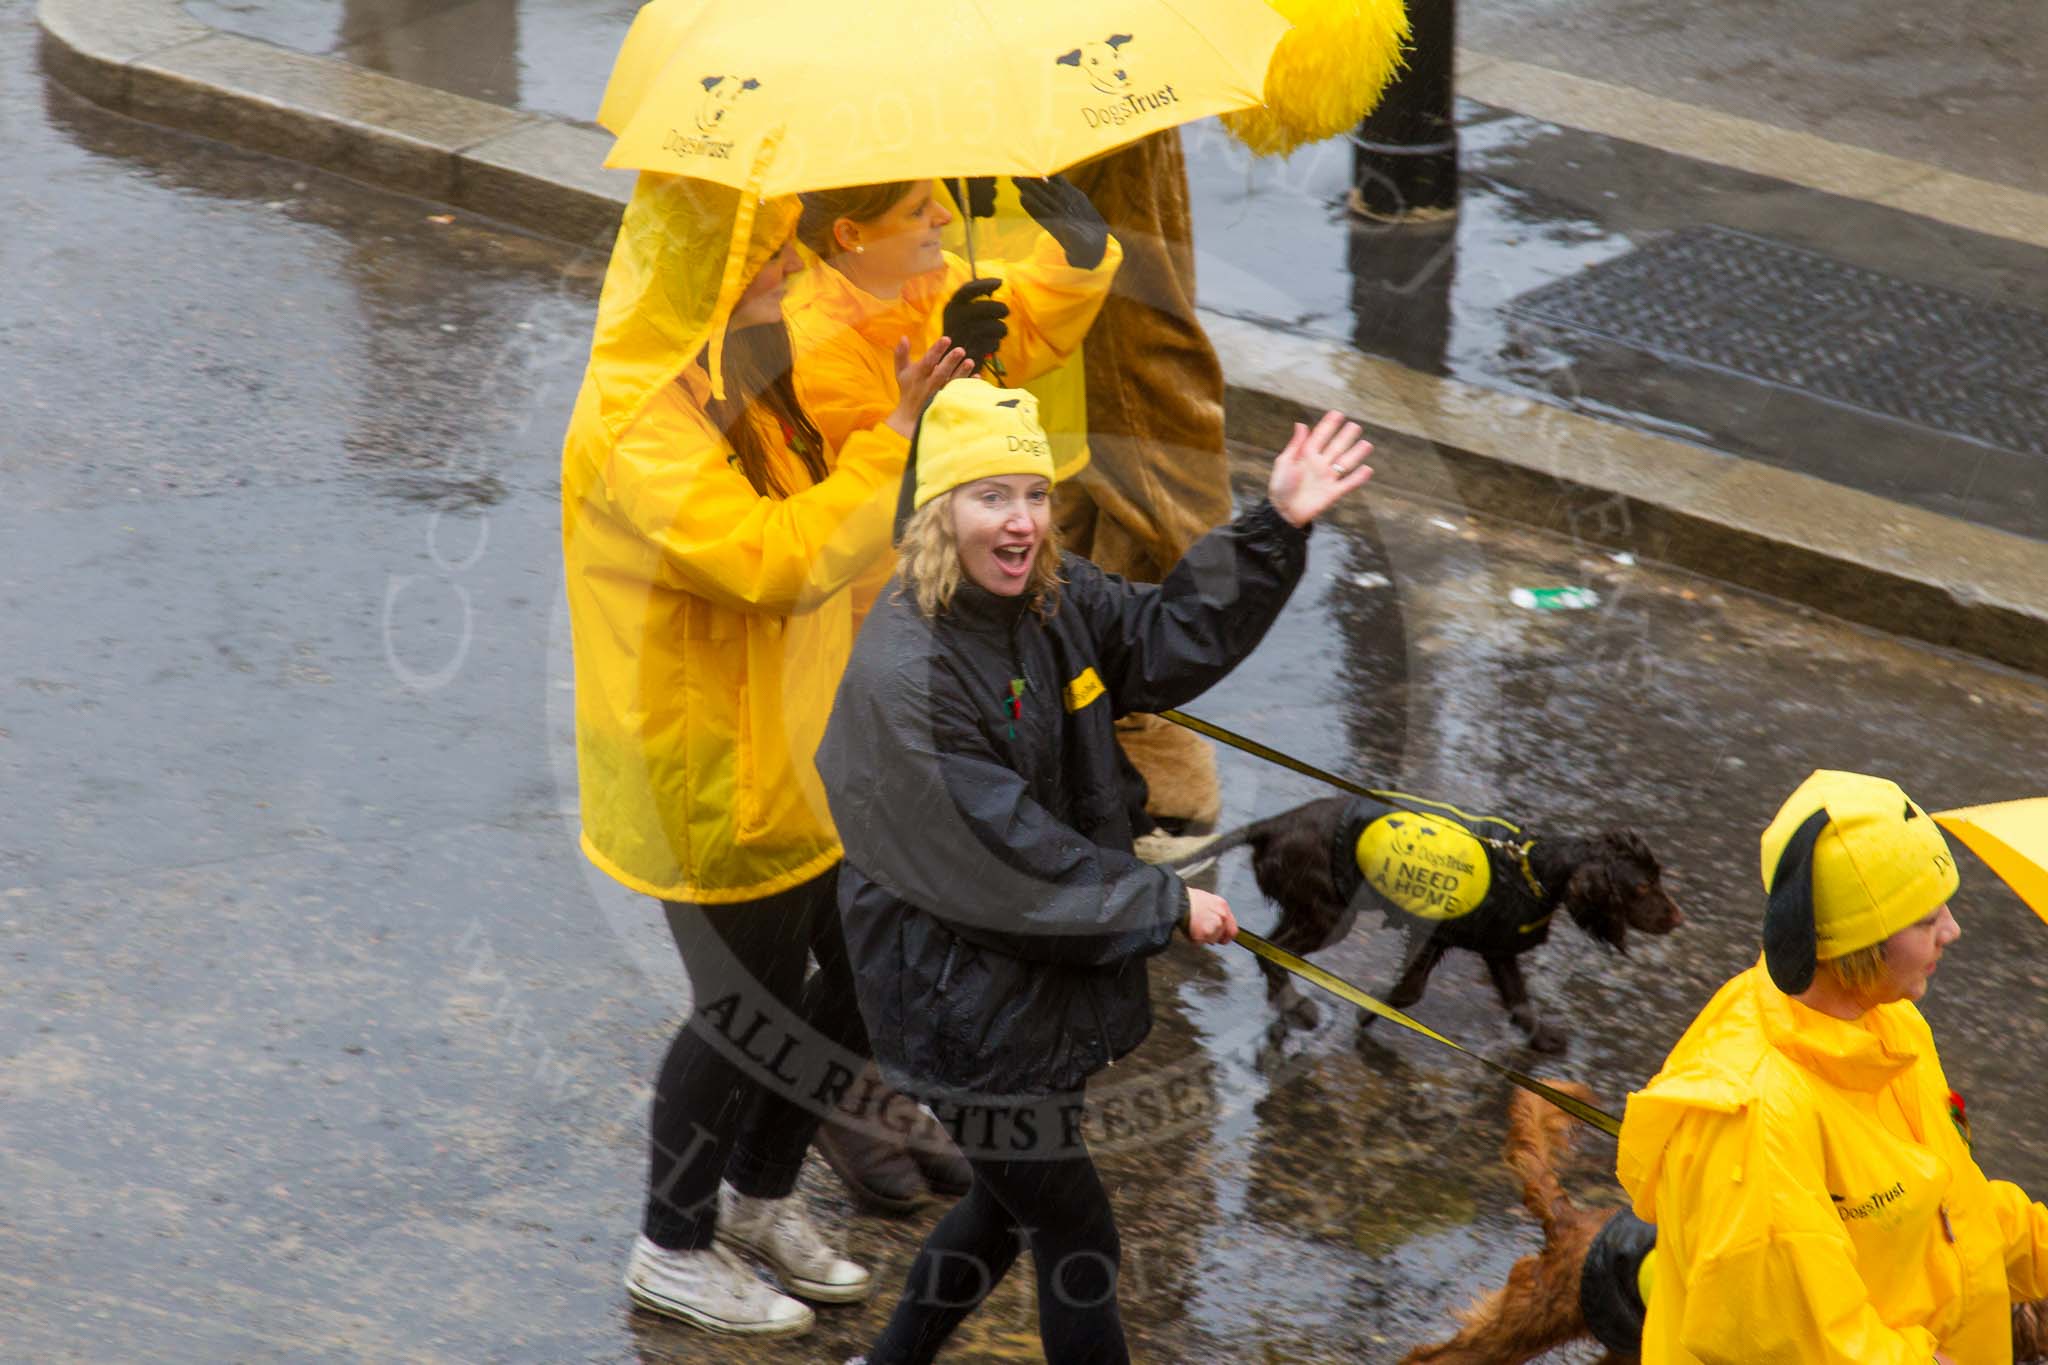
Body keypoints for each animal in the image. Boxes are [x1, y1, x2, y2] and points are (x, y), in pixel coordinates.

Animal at [1179, 794, 1687, 1055]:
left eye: (1658, 877)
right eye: (1642, 887)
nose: (1679, 918)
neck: (1533, 869)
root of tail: (1272, 826)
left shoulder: (1496, 945)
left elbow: (1519, 1000)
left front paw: (1541, 1037)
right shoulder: (1438, 932)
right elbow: (1410, 989)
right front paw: (1371, 1010)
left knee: (1273, 947)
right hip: (1328, 914)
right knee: (1275, 949)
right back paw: (1296, 1006)